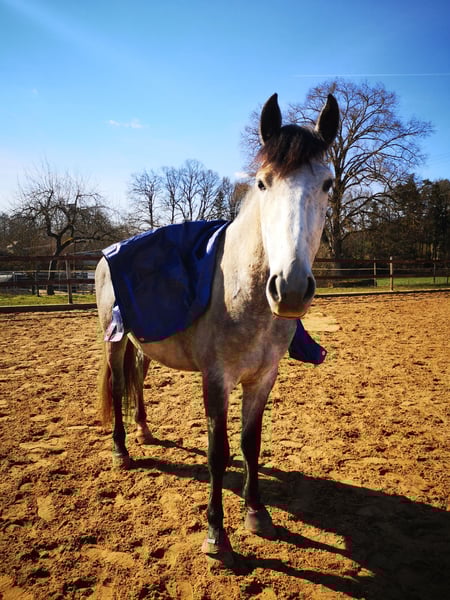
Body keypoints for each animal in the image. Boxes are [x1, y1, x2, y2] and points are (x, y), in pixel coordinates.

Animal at [95, 92, 339, 564]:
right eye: (262, 183)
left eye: (327, 184)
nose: (290, 288)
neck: (242, 290)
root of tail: (106, 253)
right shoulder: (217, 379)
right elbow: (218, 451)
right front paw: (216, 534)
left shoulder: (262, 378)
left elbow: (250, 444)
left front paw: (257, 514)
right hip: (114, 342)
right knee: (117, 387)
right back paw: (120, 449)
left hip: (143, 344)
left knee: (138, 380)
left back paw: (144, 430)